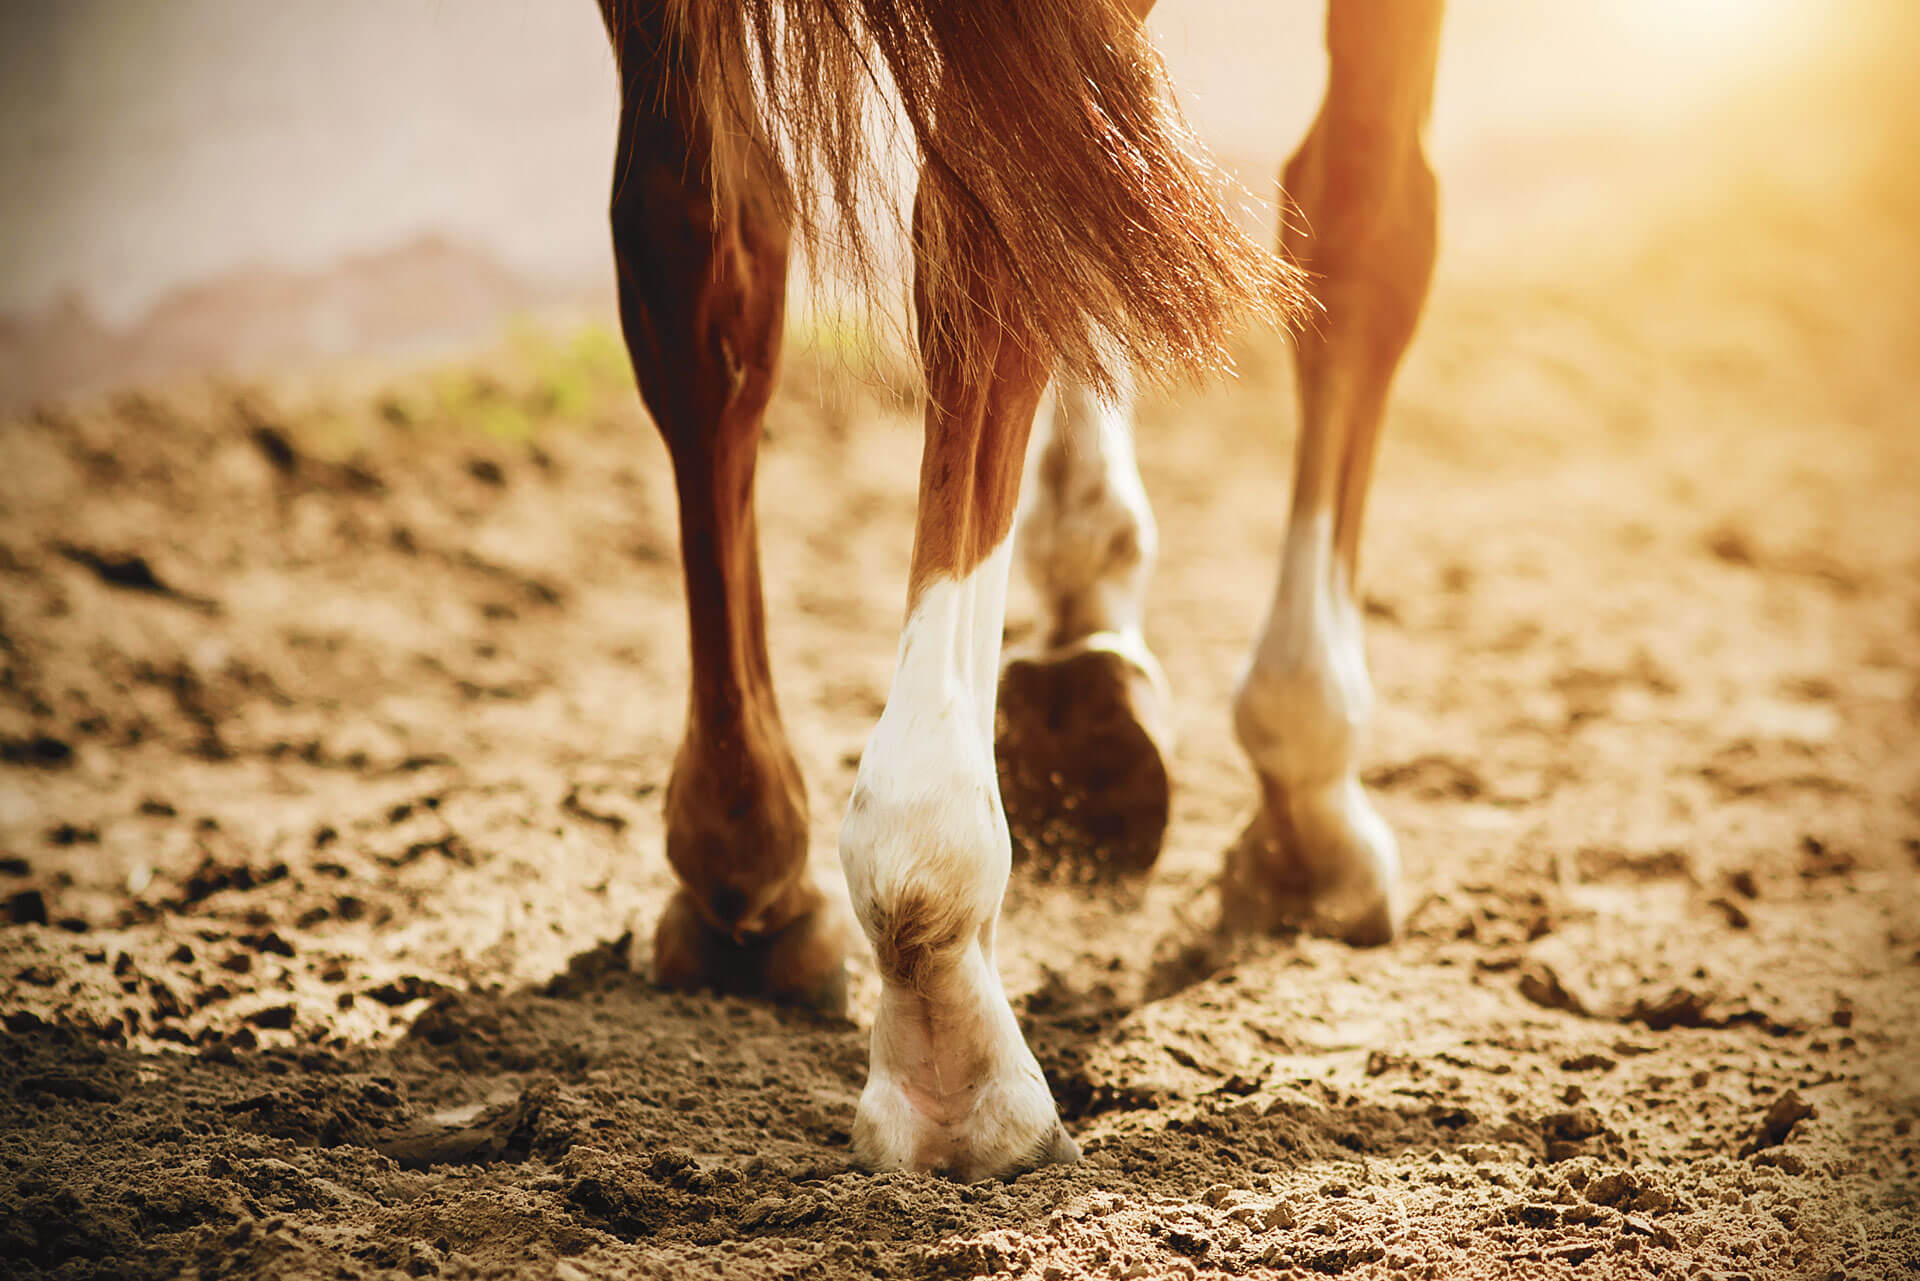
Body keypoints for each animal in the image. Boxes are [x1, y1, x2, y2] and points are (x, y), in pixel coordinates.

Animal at [599, 0, 1443, 1183]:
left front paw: (1088, 598)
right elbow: (1365, 213)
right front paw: (1308, 792)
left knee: (703, 245)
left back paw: (746, 857)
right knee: (984, 230)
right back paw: (942, 1000)